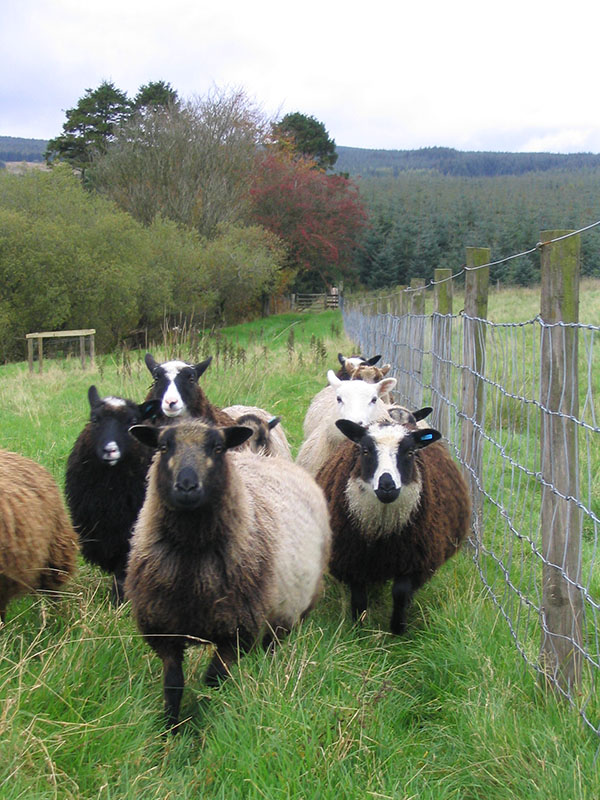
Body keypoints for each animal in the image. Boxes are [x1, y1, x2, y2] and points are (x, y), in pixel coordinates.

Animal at [65, 388, 162, 608]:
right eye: (95, 419)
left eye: (133, 421)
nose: (110, 450)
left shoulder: (130, 530)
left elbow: (122, 571)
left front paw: (119, 602)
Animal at [124, 418, 330, 732]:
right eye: (163, 446)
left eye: (218, 448)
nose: (187, 486)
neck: (193, 569)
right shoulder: (164, 628)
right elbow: (173, 685)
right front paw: (169, 731)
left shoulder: (236, 633)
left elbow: (213, 682)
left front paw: (203, 723)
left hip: (289, 613)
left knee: (272, 646)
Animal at [316, 418, 472, 636]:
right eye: (365, 450)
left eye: (410, 452)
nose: (387, 486)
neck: (382, 532)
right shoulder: (352, 558)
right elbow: (358, 595)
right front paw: (359, 628)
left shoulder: (415, 560)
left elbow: (401, 593)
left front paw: (398, 629)